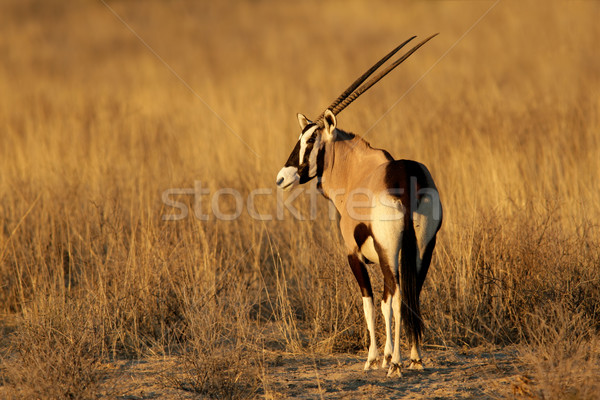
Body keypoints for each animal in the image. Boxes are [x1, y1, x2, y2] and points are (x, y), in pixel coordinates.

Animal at [276, 35, 440, 378]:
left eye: (309, 141)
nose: (282, 177)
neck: (358, 170)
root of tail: (406, 175)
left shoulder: (353, 253)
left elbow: (370, 301)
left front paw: (374, 359)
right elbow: (386, 301)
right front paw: (387, 356)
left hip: (390, 251)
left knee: (396, 296)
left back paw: (396, 364)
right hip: (422, 249)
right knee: (412, 293)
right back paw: (415, 358)